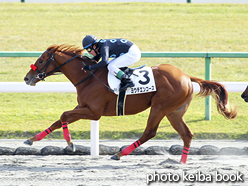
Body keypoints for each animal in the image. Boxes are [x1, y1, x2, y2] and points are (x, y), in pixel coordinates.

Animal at [23, 44, 238, 163]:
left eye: (41, 60)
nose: (27, 78)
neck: (88, 77)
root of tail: (186, 76)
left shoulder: (93, 112)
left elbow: (64, 116)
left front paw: (70, 143)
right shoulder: (83, 107)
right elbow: (59, 120)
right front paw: (32, 139)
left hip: (160, 107)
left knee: (149, 132)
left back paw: (120, 154)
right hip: (174, 112)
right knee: (187, 134)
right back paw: (182, 162)